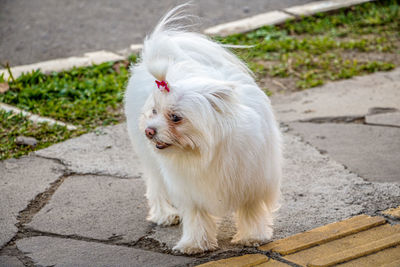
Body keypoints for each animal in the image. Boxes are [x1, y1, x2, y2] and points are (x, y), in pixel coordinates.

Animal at [125, 5, 282, 254]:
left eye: (176, 117)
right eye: (154, 111)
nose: (149, 131)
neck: (203, 152)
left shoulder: (252, 180)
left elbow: (251, 210)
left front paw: (253, 237)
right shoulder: (189, 188)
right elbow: (196, 216)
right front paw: (194, 244)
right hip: (151, 160)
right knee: (156, 184)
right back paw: (165, 214)